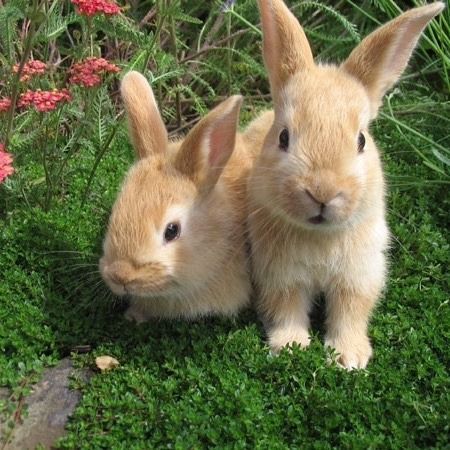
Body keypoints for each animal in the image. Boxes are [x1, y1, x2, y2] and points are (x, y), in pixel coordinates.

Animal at [246, 0, 442, 370]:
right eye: (284, 137)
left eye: (361, 140)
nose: (322, 192)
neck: (320, 235)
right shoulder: (279, 275)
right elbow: (286, 309)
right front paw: (290, 347)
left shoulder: (359, 275)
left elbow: (350, 312)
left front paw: (349, 357)